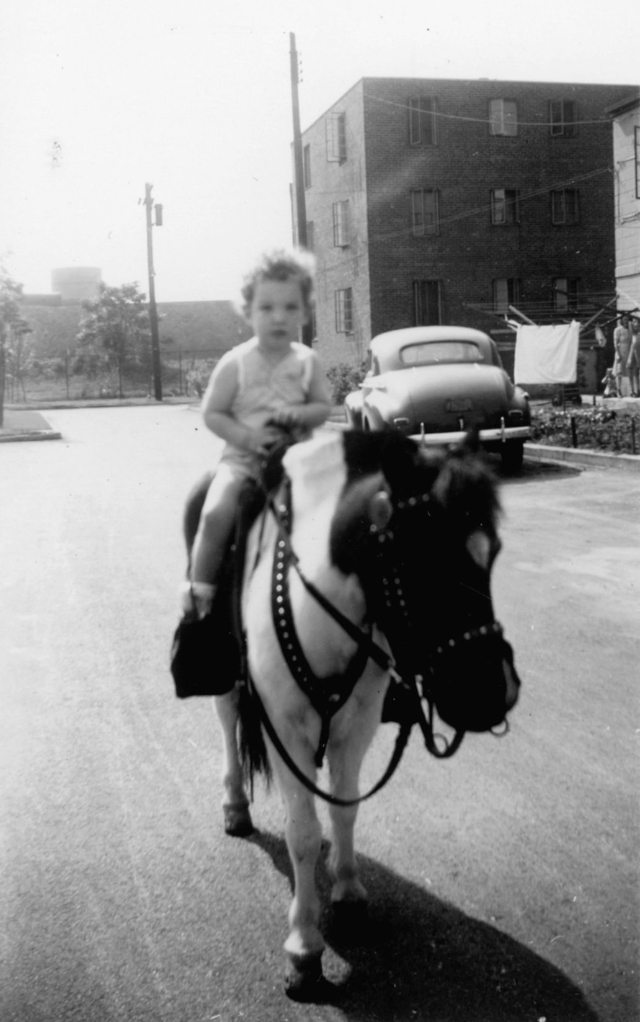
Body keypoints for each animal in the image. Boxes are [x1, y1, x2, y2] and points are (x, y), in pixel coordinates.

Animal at [180, 427, 519, 1001]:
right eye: (421, 558)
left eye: (491, 553)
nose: (492, 693)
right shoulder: (285, 731)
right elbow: (301, 833)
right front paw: (304, 948)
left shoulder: (355, 727)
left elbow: (344, 810)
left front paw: (349, 894)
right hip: (226, 670)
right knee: (227, 719)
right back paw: (234, 804)